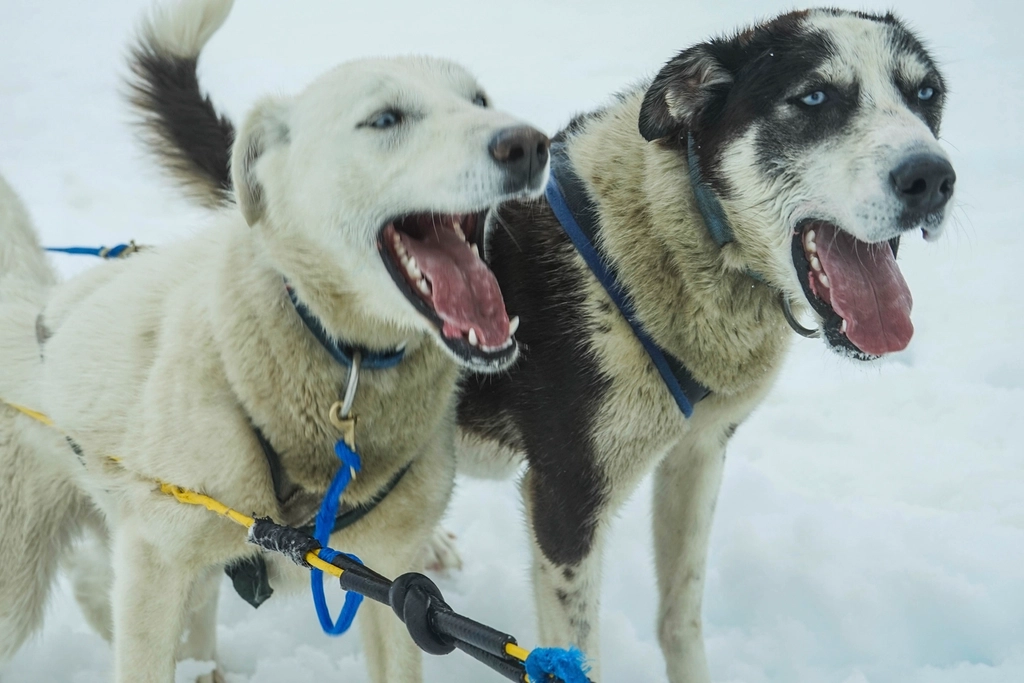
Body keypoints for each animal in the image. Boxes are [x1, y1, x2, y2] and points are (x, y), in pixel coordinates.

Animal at [0, 0, 552, 679]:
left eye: (479, 99)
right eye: (386, 118)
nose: (528, 143)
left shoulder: (394, 581)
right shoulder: (156, 565)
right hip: (24, 586)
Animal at [99, 5, 954, 683]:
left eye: (927, 95)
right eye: (813, 99)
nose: (932, 178)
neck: (677, 237)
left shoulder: (696, 454)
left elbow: (680, 615)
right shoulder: (567, 501)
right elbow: (575, 652)